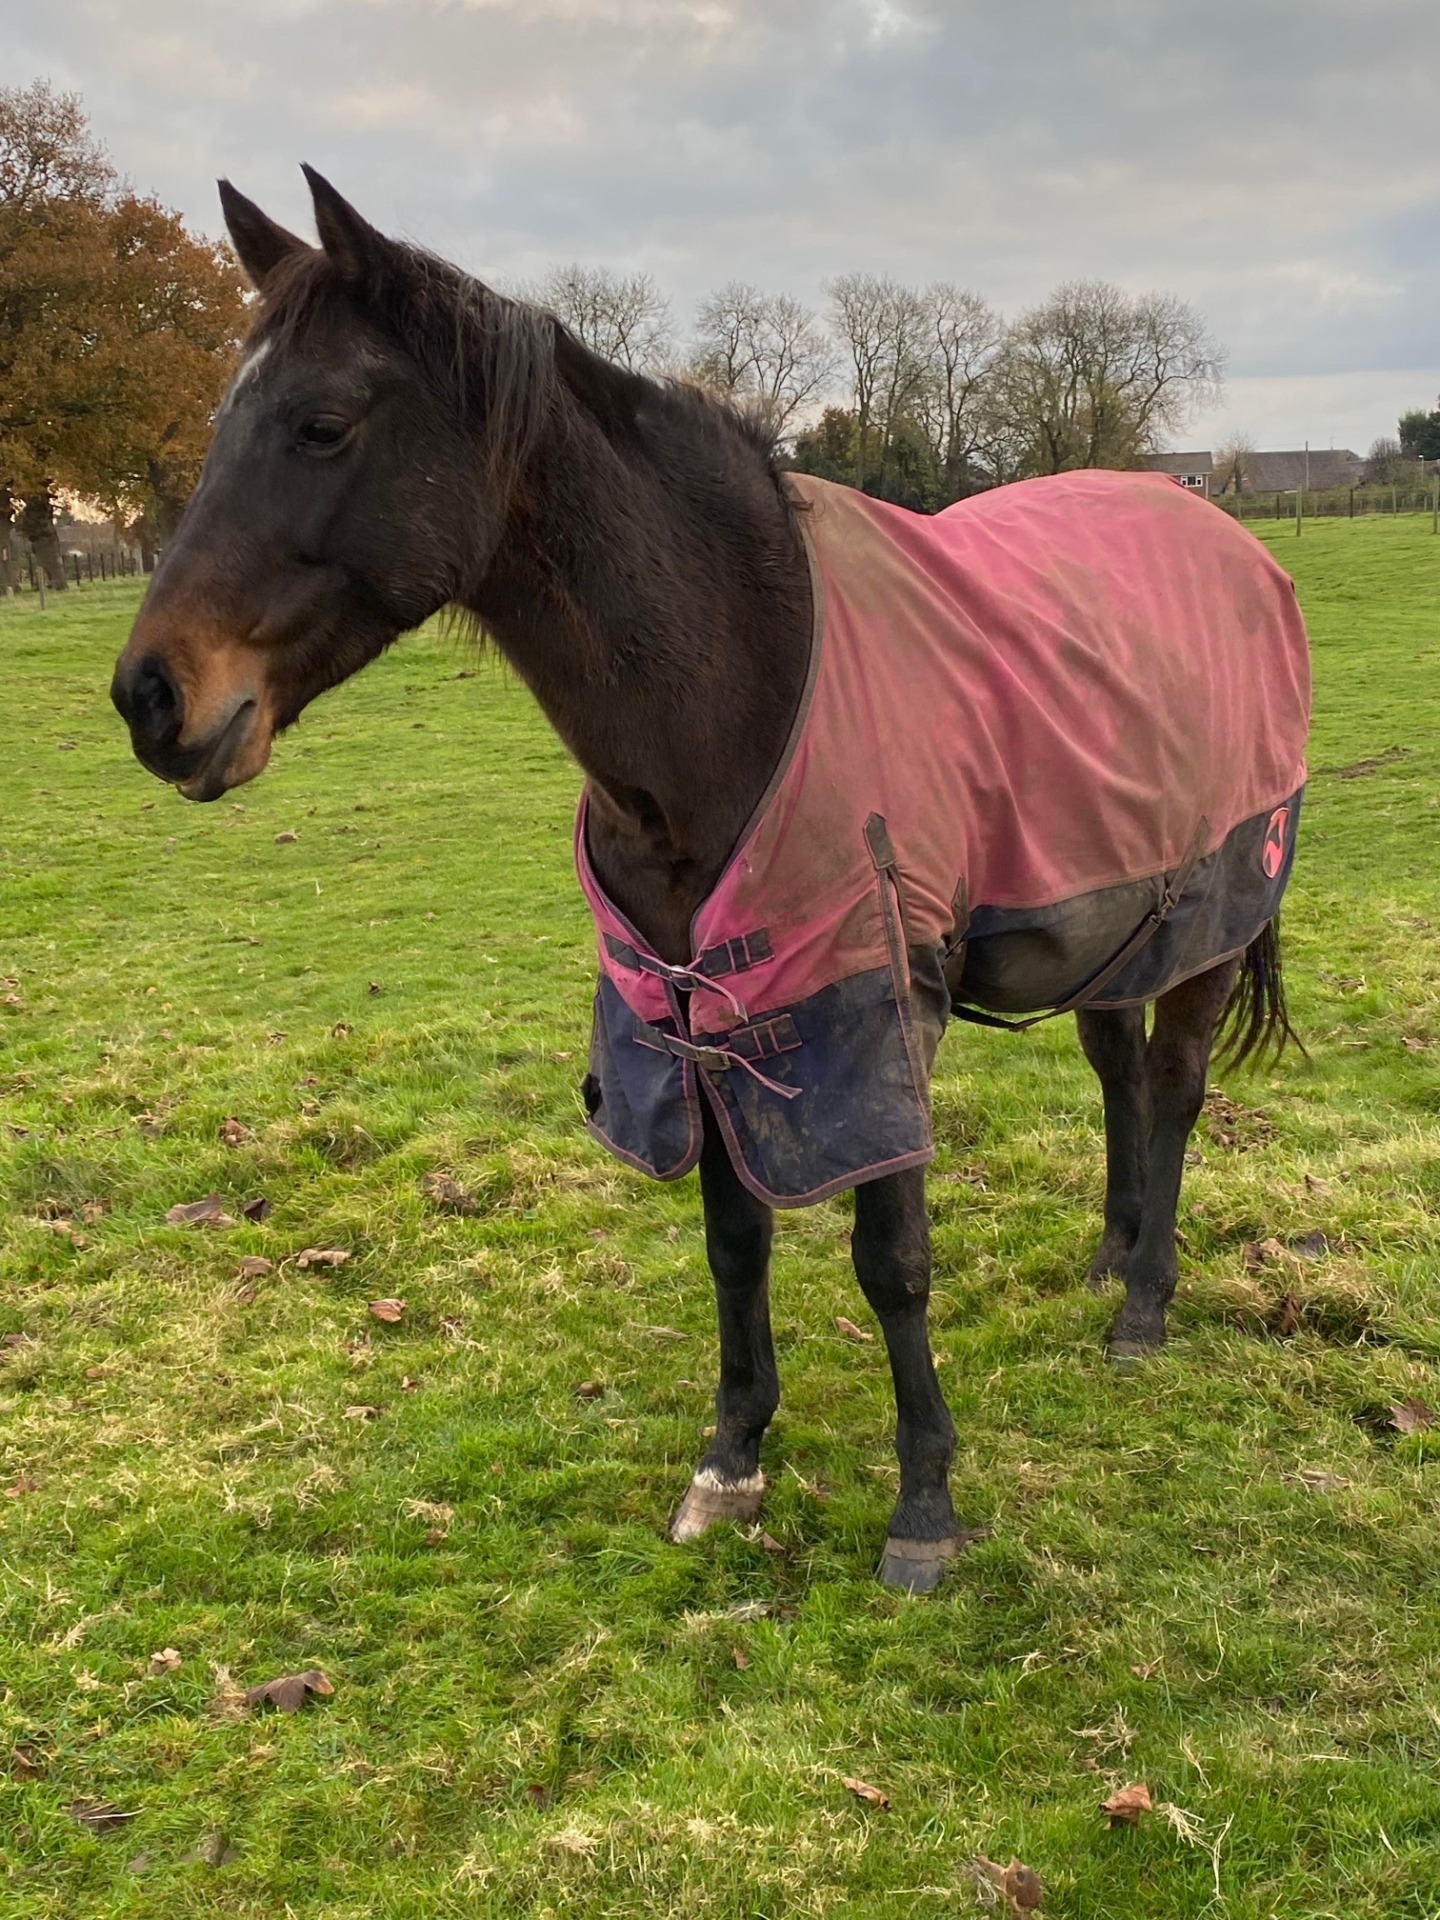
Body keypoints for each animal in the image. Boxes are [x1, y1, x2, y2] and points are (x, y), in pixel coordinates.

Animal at [111, 169, 1310, 1592]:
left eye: (323, 424)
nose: (150, 698)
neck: (740, 679)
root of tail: (1231, 540)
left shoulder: (871, 1008)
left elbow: (890, 1258)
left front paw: (924, 1504)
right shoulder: (697, 1011)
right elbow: (734, 1240)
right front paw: (732, 1458)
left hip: (1211, 917)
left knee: (1173, 1088)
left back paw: (1144, 1306)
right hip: (1115, 913)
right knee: (1118, 1068)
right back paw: (1112, 1255)